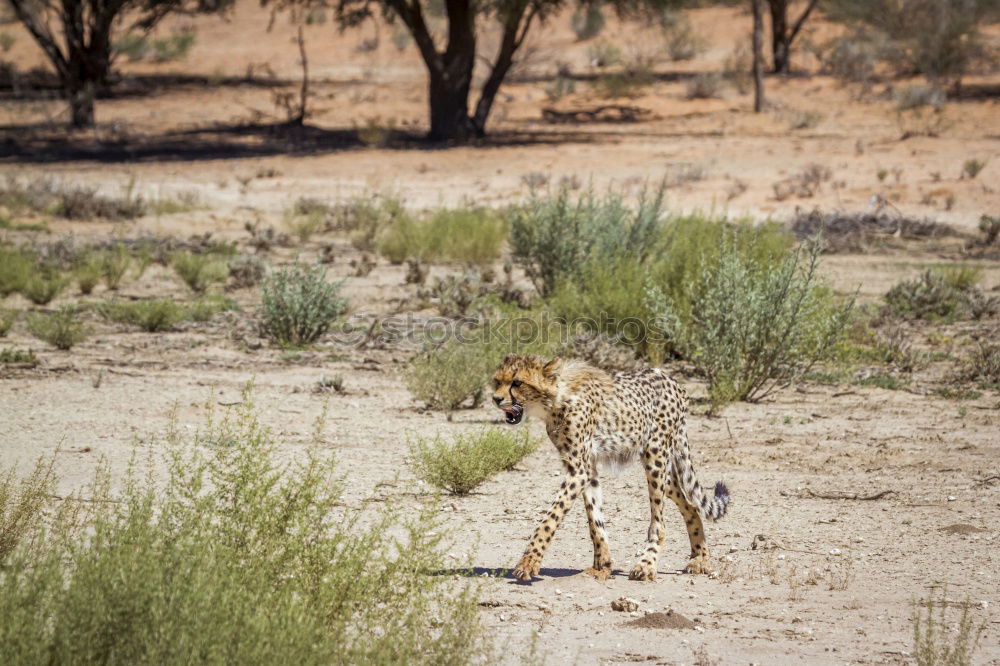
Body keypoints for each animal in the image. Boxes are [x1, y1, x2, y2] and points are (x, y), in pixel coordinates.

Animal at [490, 352, 732, 580]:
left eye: (517, 382)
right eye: (497, 381)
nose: (495, 399)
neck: (556, 400)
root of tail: (670, 378)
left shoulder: (578, 471)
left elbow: (550, 518)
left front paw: (528, 562)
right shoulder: (587, 468)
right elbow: (595, 521)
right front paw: (602, 566)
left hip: (655, 456)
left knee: (660, 523)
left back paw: (647, 565)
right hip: (664, 471)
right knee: (691, 505)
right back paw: (700, 558)